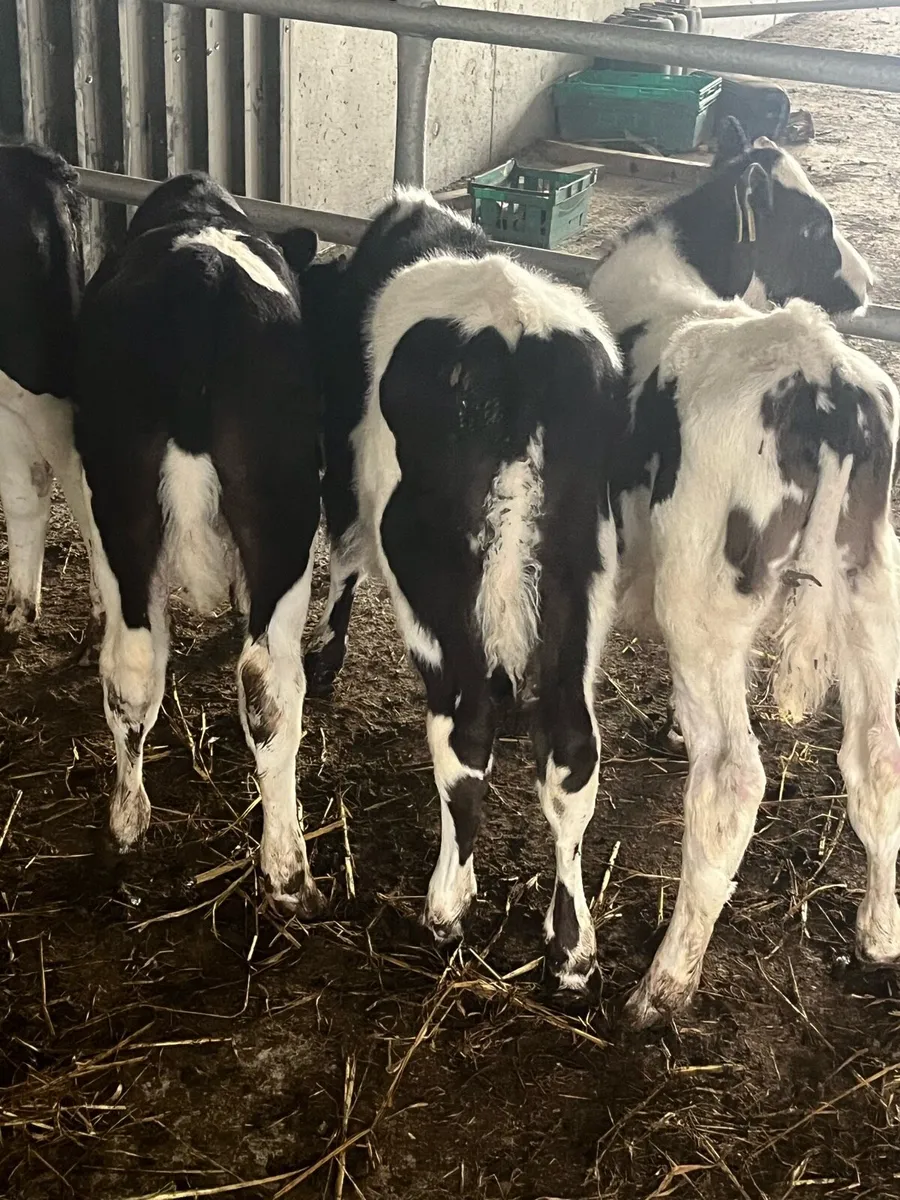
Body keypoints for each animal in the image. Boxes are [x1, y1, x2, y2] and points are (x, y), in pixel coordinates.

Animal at [73, 172, 323, 915]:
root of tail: (199, 277)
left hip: (121, 501)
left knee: (131, 664)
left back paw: (125, 825)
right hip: (287, 515)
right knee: (269, 680)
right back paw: (289, 869)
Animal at [279, 189, 625, 988]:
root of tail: (522, 339)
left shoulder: (342, 476)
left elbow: (343, 554)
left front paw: (325, 659)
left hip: (431, 573)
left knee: (465, 731)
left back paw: (446, 906)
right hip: (582, 579)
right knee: (572, 748)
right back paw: (571, 944)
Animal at [589, 119, 899, 1027]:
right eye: (815, 223)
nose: (866, 284)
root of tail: (823, 373)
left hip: (702, 596)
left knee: (732, 776)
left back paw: (665, 983)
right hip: (871, 582)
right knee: (879, 754)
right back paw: (880, 937)